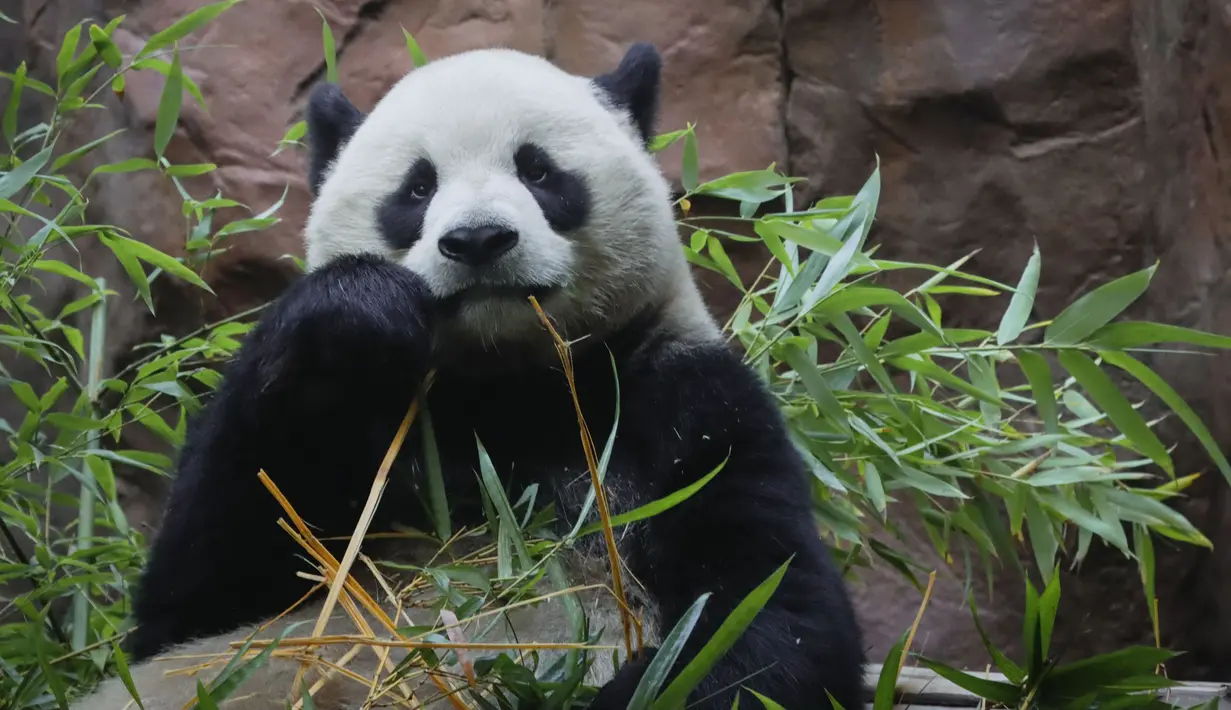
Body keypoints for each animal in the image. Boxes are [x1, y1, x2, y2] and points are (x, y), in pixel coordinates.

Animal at [76, 43, 866, 708]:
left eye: (539, 170)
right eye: (417, 187)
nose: (479, 239)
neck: (508, 387)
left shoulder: (683, 403)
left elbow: (763, 617)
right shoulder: (366, 434)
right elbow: (198, 600)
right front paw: (358, 309)